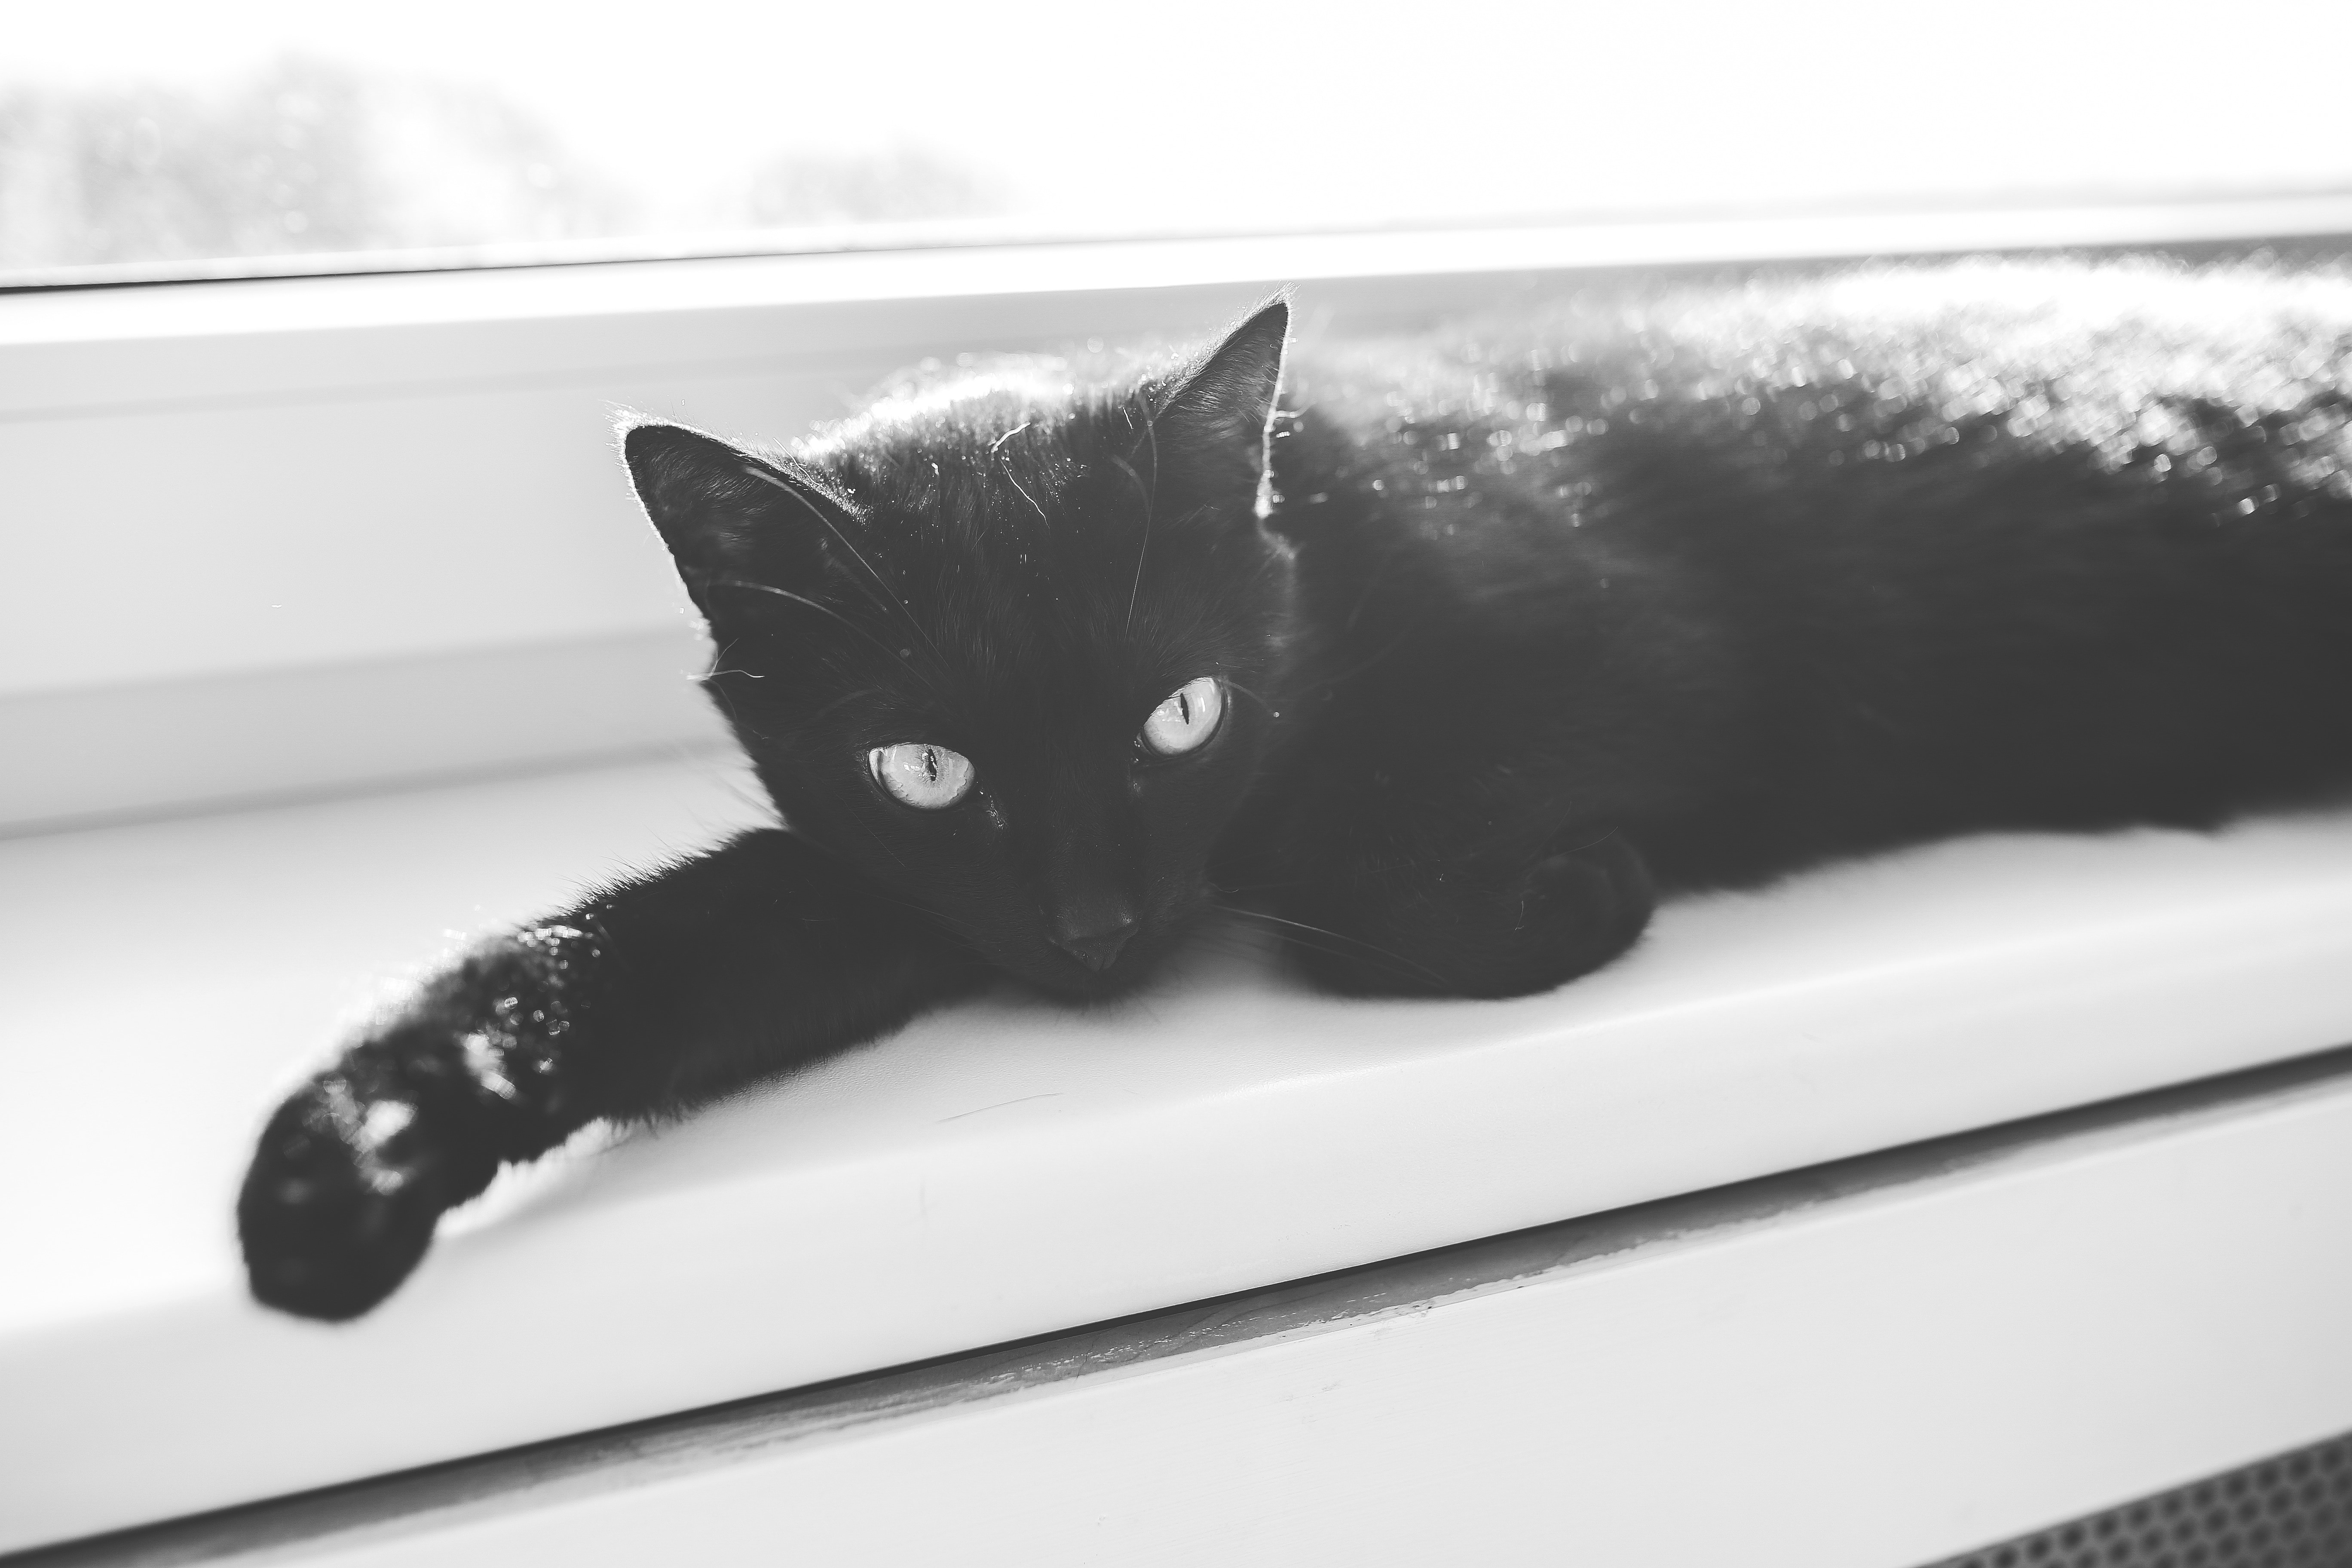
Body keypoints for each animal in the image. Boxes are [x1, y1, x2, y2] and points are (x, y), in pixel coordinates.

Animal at [239, 263, 2352, 1316]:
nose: (1093, 928)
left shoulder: (1647, 662)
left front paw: (1580, 889)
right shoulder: (878, 880)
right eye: (923, 766)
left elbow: (1370, 879)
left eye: (1181, 714)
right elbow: (621, 956)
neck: (1316, 536)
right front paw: (349, 1158)